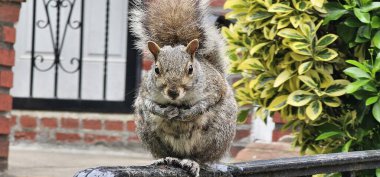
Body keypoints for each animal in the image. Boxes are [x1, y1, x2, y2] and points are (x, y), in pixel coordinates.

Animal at [131, 0, 238, 176]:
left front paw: (188, 113)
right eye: (156, 69)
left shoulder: (215, 87)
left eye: (190, 69)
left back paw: (192, 162)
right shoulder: (145, 93)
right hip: (149, 134)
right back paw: (165, 159)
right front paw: (166, 112)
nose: (173, 92)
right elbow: (150, 105)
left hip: (215, 136)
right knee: (168, 153)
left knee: (201, 157)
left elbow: (207, 103)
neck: (178, 101)